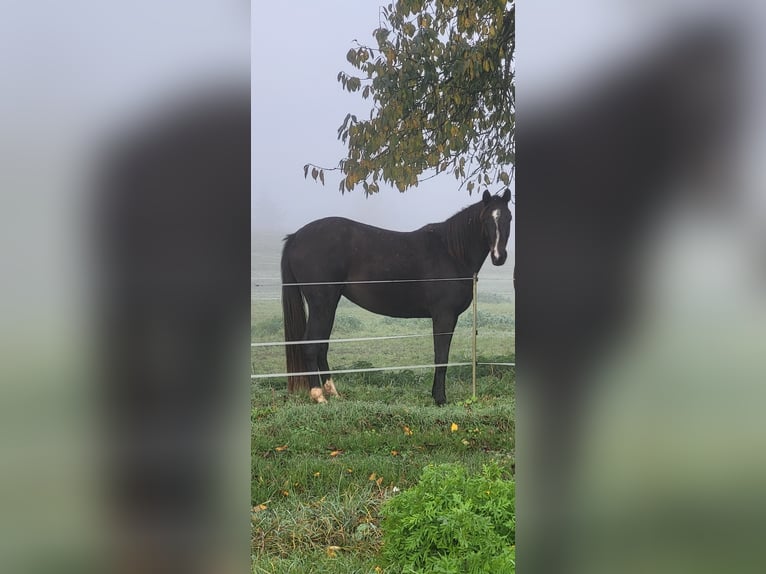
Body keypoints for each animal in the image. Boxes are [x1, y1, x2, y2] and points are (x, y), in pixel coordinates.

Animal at [280, 189, 512, 404]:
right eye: (486, 219)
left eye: (508, 218)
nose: (499, 257)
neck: (451, 253)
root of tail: (296, 236)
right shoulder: (444, 316)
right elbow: (441, 357)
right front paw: (440, 398)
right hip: (321, 303)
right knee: (310, 345)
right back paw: (319, 396)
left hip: (329, 305)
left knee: (322, 345)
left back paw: (333, 392)